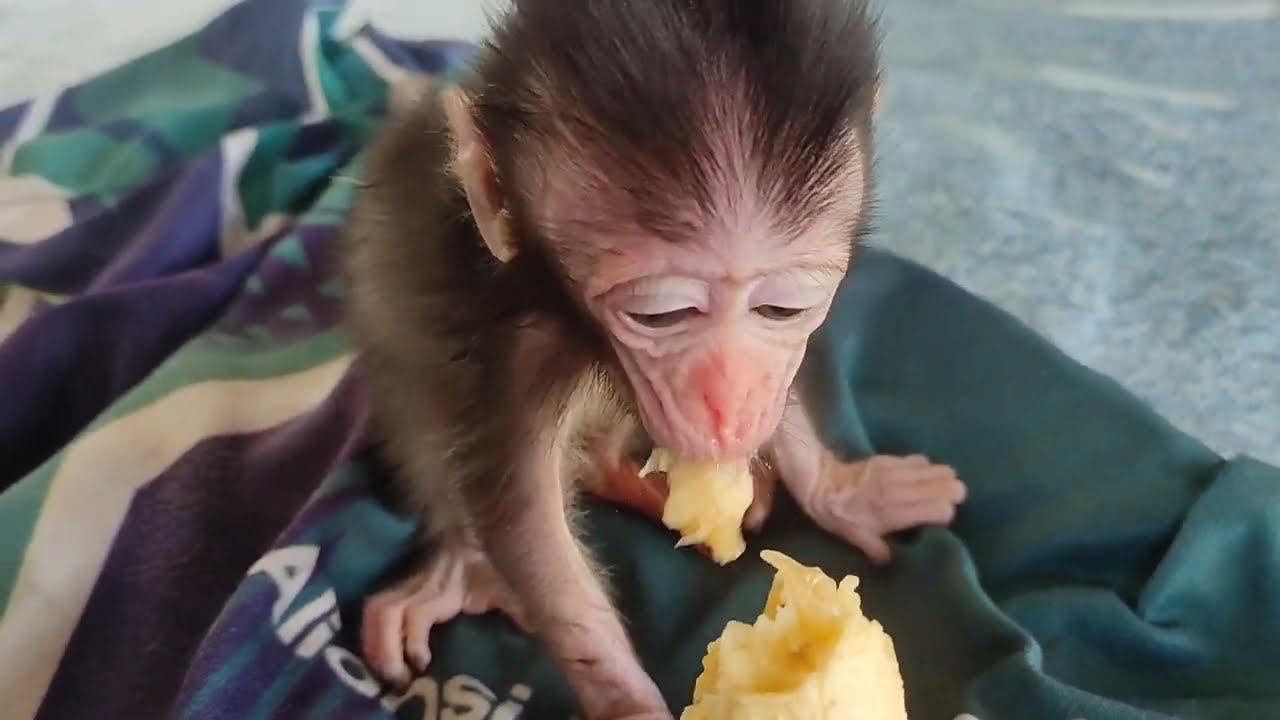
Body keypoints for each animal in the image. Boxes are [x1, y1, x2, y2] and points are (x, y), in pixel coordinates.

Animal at [340, 1, 967, 718]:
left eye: (782, 308)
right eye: (661, 316)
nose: (727, 405)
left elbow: (783, 396)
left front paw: (842, 493)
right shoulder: (522, 343)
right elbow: (522, 511)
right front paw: (626, 700)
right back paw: (461, 567)